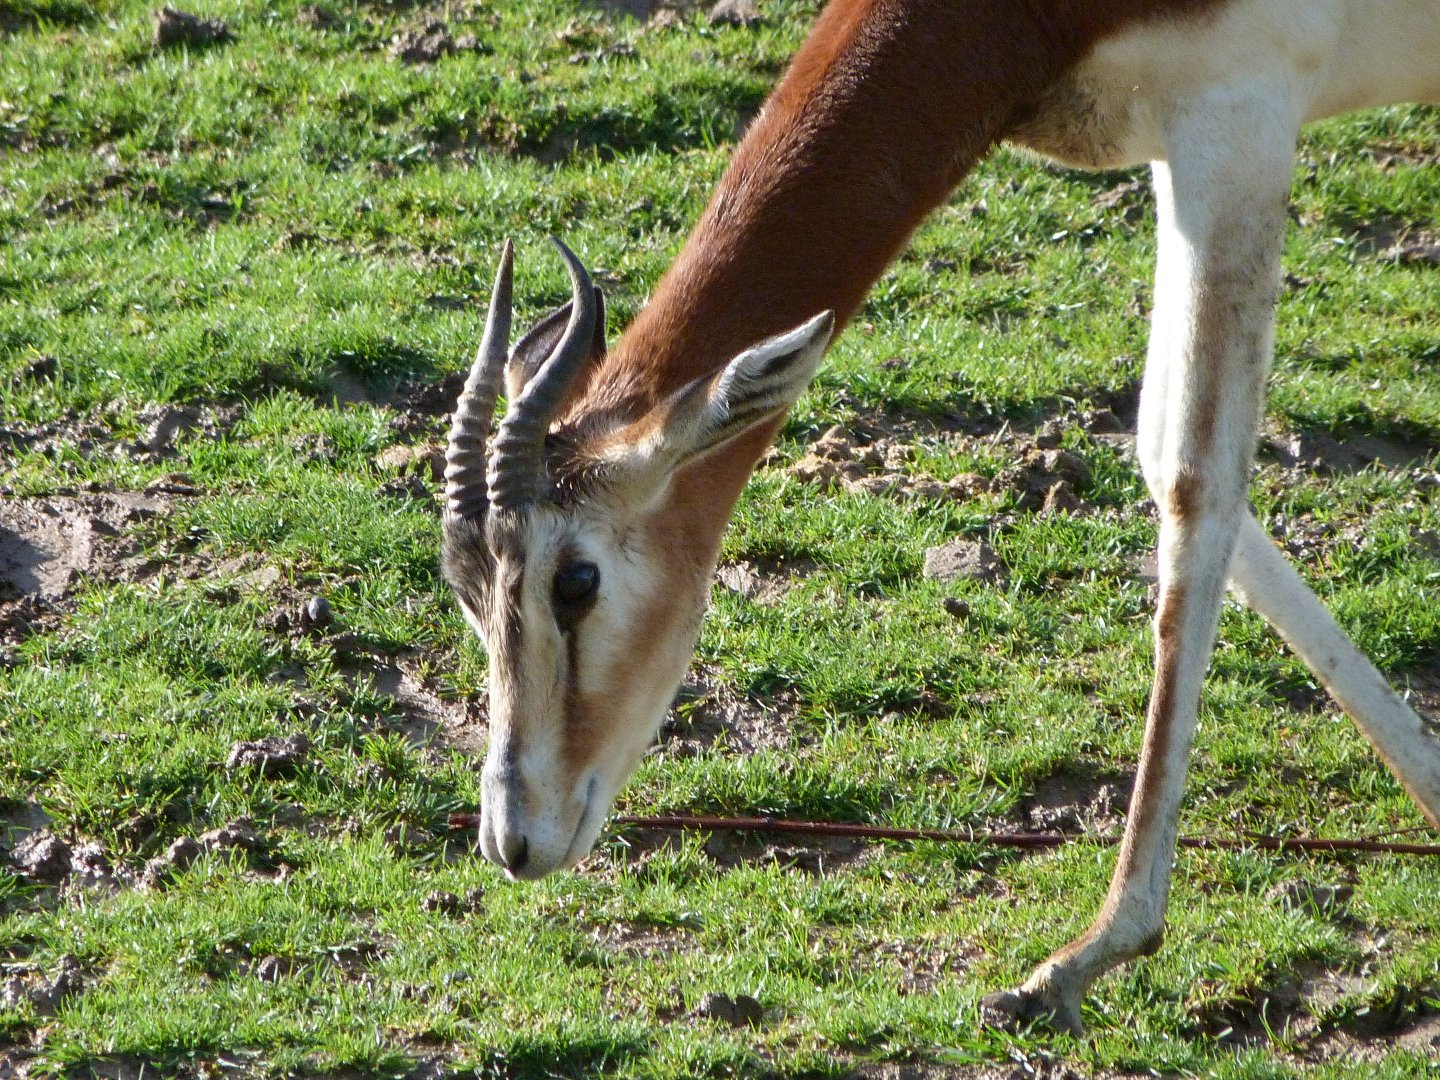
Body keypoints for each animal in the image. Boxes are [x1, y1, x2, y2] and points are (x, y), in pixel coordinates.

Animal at [440, 0, 1440, 1032]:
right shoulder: (1175, 137)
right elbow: (1160, 450)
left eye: (576, 581)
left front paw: (1080, 958)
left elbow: (1197, 483)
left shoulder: (1237, 115)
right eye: (466, 589)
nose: (514, 840)